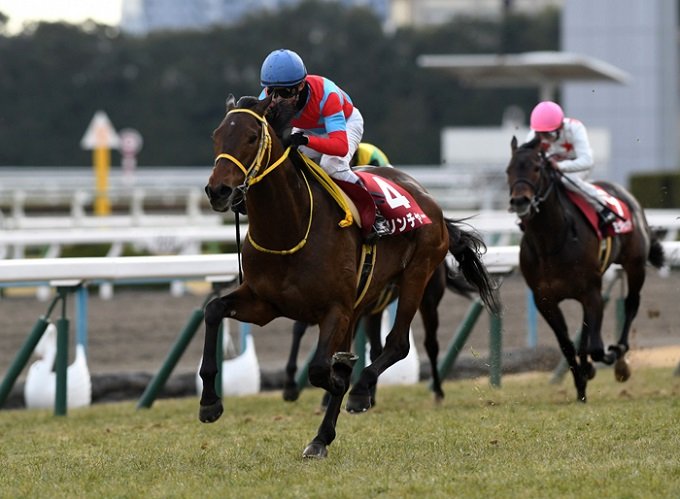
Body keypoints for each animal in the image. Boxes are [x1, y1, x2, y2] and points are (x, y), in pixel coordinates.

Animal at [201, 94, 498, 459]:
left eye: (252, 137)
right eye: (216, 135)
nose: (218, 191)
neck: (290, 227)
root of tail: (430, 200)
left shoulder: (336, 309)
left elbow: (320, 369)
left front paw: (343, 384)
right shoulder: (264, 303)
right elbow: (213, 309)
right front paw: (210, 403)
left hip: (418, 276)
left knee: (399, 344)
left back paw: (361, 391)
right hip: (363, 303)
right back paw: (323, 433)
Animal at [506, 136, 665, 402]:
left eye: (536, 168)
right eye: (508, 170)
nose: (520, 201)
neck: (550, 242)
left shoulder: (591, 291)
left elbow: (597, 348)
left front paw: (605, 360)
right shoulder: (545, 299)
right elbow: (567, 345)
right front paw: (581, 382)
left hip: (634, 265)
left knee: (631, 304)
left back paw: (620, 355)